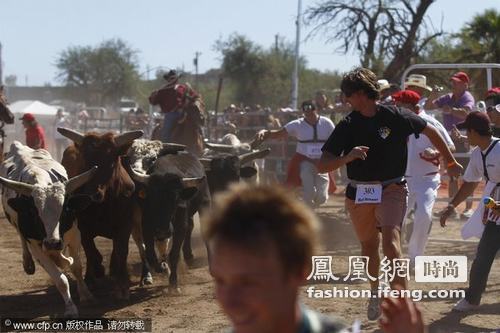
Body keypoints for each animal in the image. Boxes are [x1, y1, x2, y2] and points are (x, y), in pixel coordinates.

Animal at [59, 127, 145, 298]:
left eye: (111, 162)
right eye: (87, 162)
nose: (93, 194)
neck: (105, 203)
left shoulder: (125, 226)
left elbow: (121, 251)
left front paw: (122, 282)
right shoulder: (83, 228)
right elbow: (92, 252)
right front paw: (97, 272)